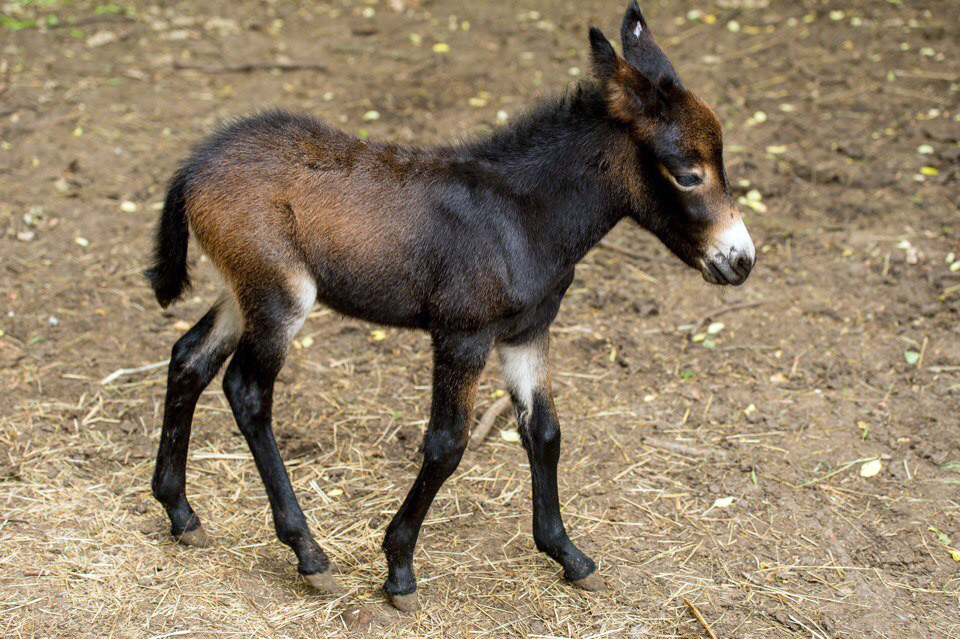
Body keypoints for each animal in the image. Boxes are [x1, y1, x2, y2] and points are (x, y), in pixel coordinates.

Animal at [146, 3, 752, 616]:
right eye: (687, 172)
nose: (741, 261)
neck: (522, 214)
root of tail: (196, 165)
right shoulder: (463, 335)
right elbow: (446, 445)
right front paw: (399, 570)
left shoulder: (528, 332)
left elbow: (545, 433)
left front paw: (569, 556)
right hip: (281, 296)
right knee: (247, 391)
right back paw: (308, 554)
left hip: (242, 289)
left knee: (189, 358)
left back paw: (181, 513)